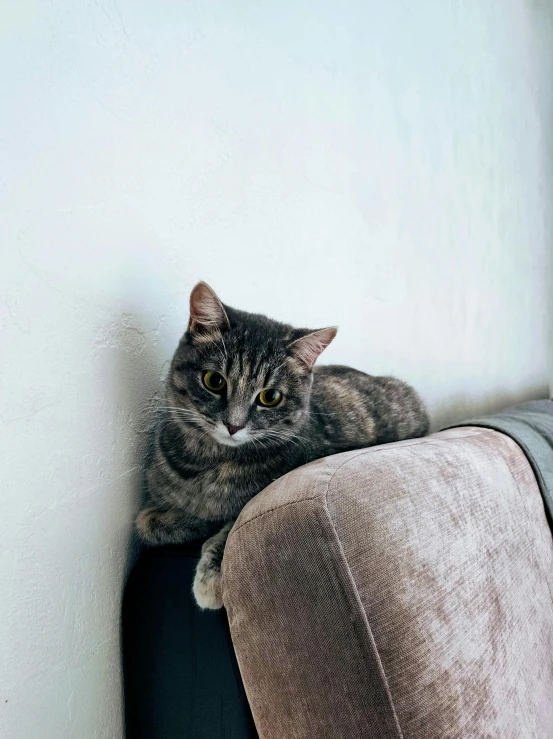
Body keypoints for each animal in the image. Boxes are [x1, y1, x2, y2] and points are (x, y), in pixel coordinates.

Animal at [136, 280, 430, 608]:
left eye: (270, 397)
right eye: (214, 380)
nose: (234, 425)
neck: (211, 462)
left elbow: (230, 524)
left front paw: (211, 572)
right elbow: (146, 523)